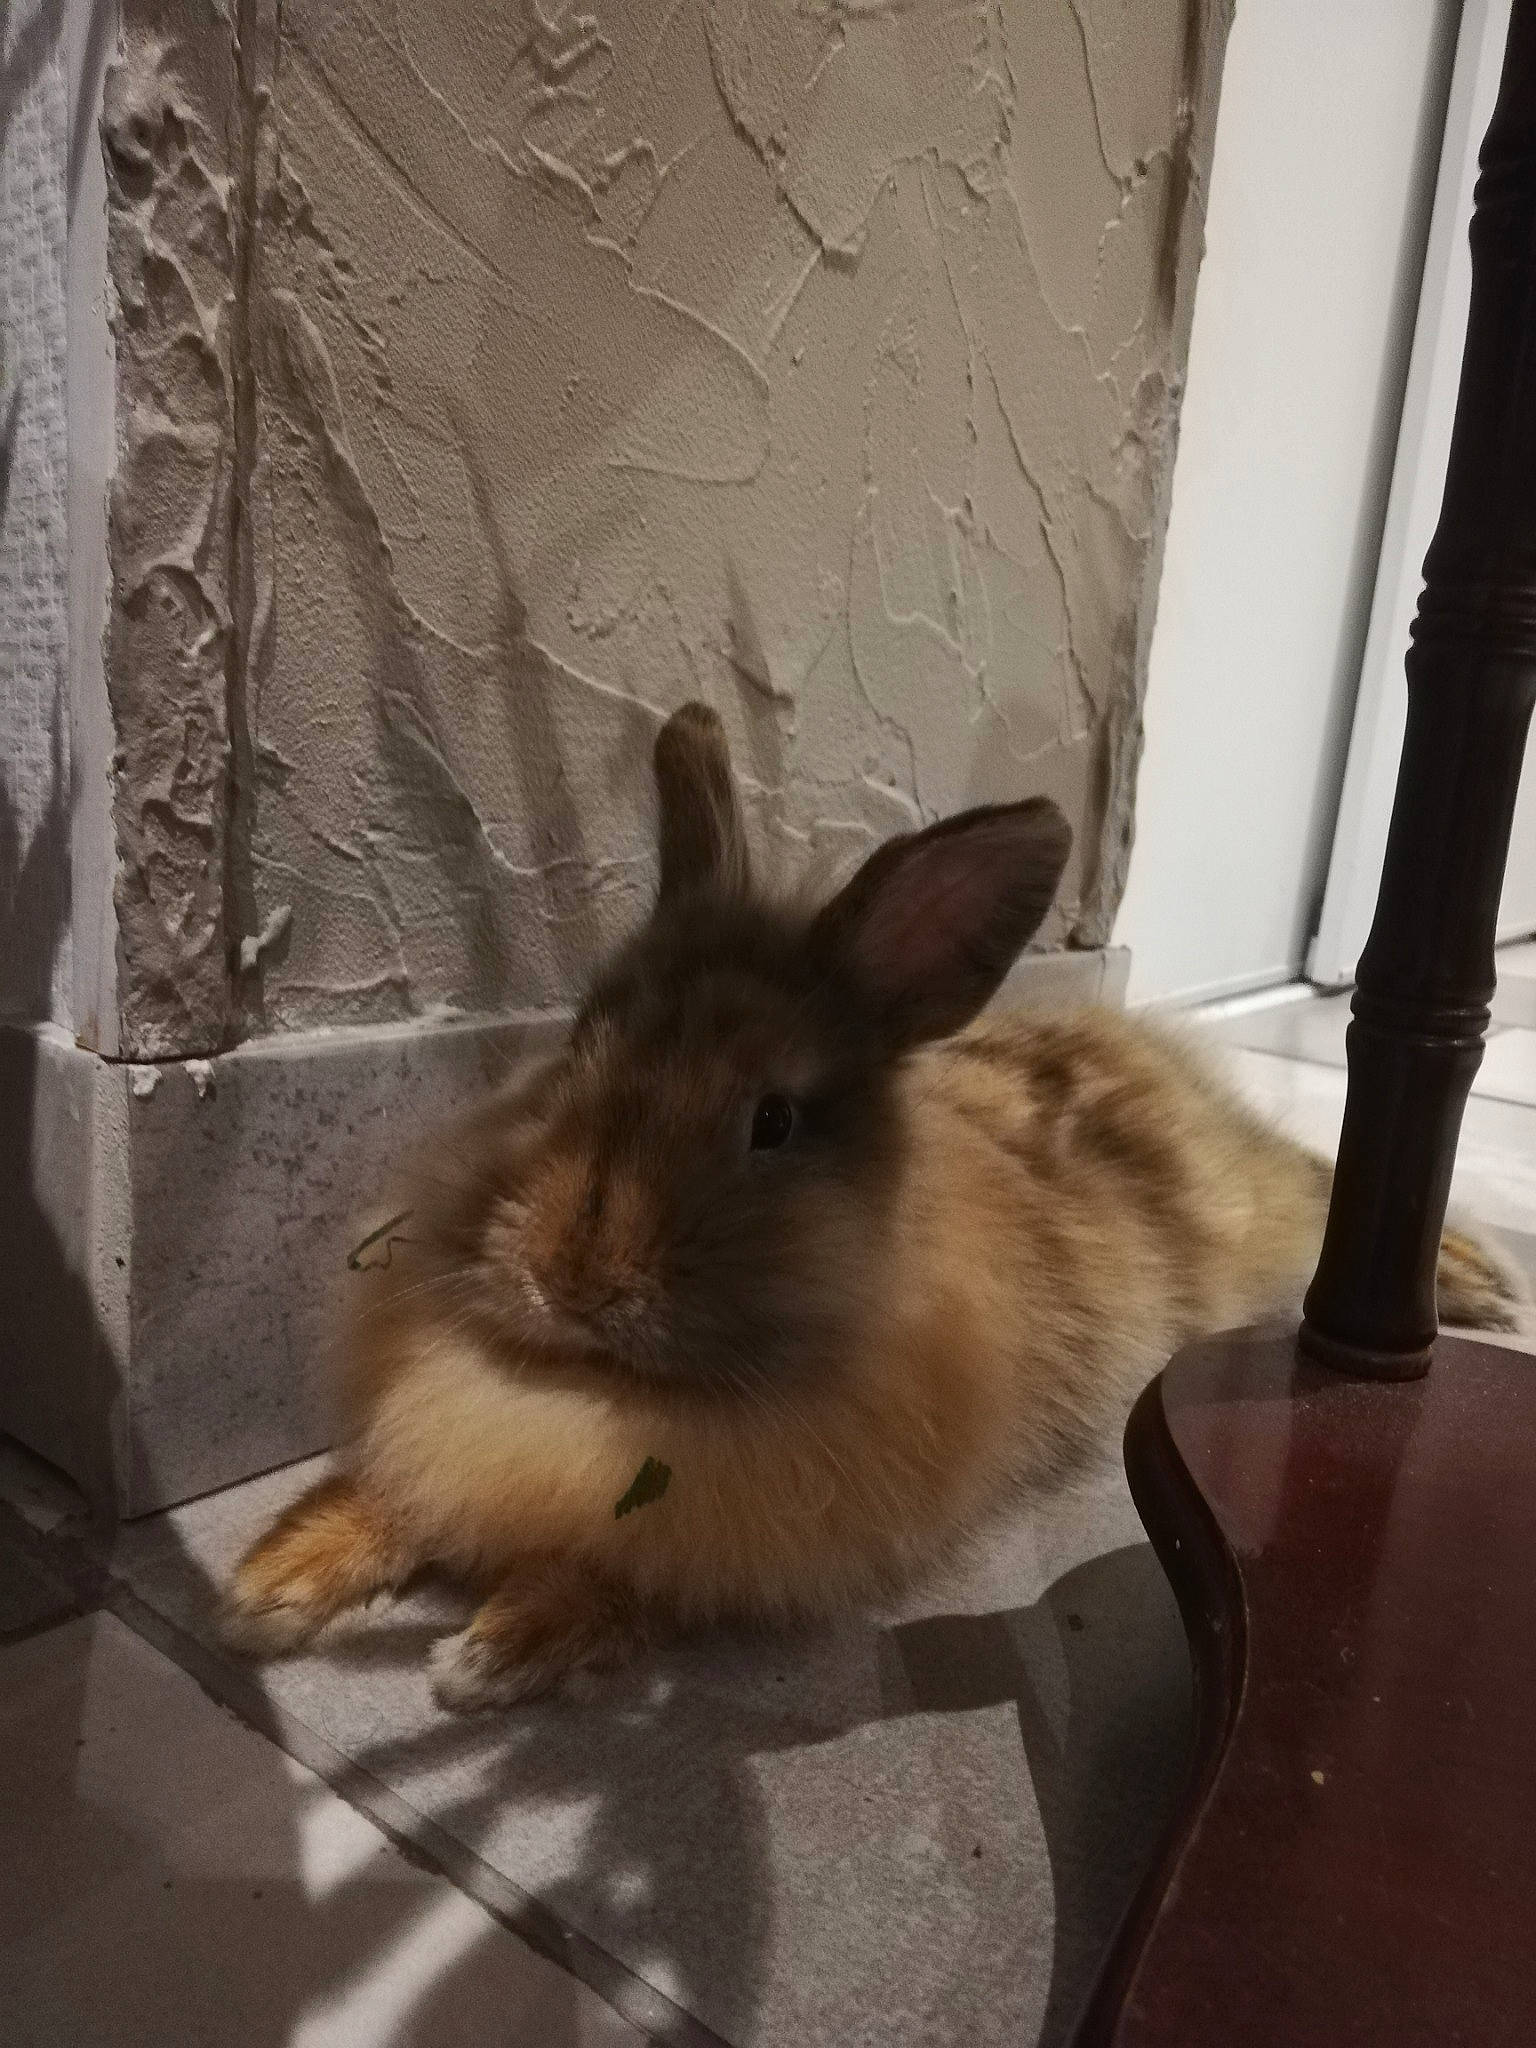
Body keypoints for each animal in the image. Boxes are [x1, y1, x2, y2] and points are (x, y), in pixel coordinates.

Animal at [221, 702, 1527, 1712]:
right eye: (577, 1047)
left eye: (773, 1121)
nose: (570, 1275)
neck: (602, 1390)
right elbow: (401, 1487)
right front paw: (265, 1586)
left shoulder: (761, 1522)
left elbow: (632, 1572)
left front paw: (491, 1652)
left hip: (1263, 1221)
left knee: (1310, 1186)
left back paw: (1477, 1280)